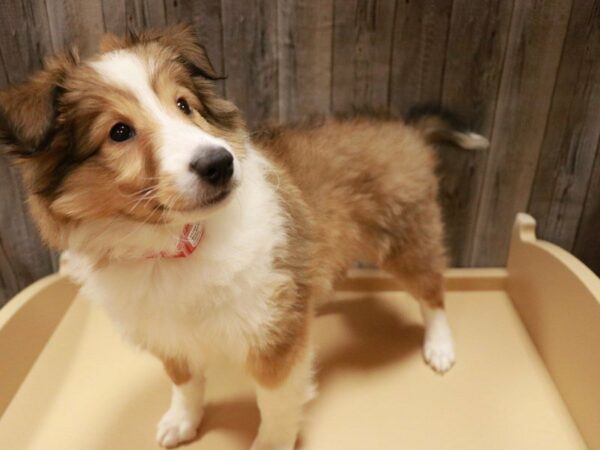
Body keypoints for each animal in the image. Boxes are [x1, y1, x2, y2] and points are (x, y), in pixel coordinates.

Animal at [0, 25, 488, 450]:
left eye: (184, 105)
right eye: (119, 132)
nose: (219, 163)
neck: (175, 247)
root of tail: (407, 129)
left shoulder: (275, 337)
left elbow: (274, 404)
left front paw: (270, 444)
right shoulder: (168, 335)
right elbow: (185, 383)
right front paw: (181, 422)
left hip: (407, 235)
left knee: (432, 291)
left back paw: (439, 347)